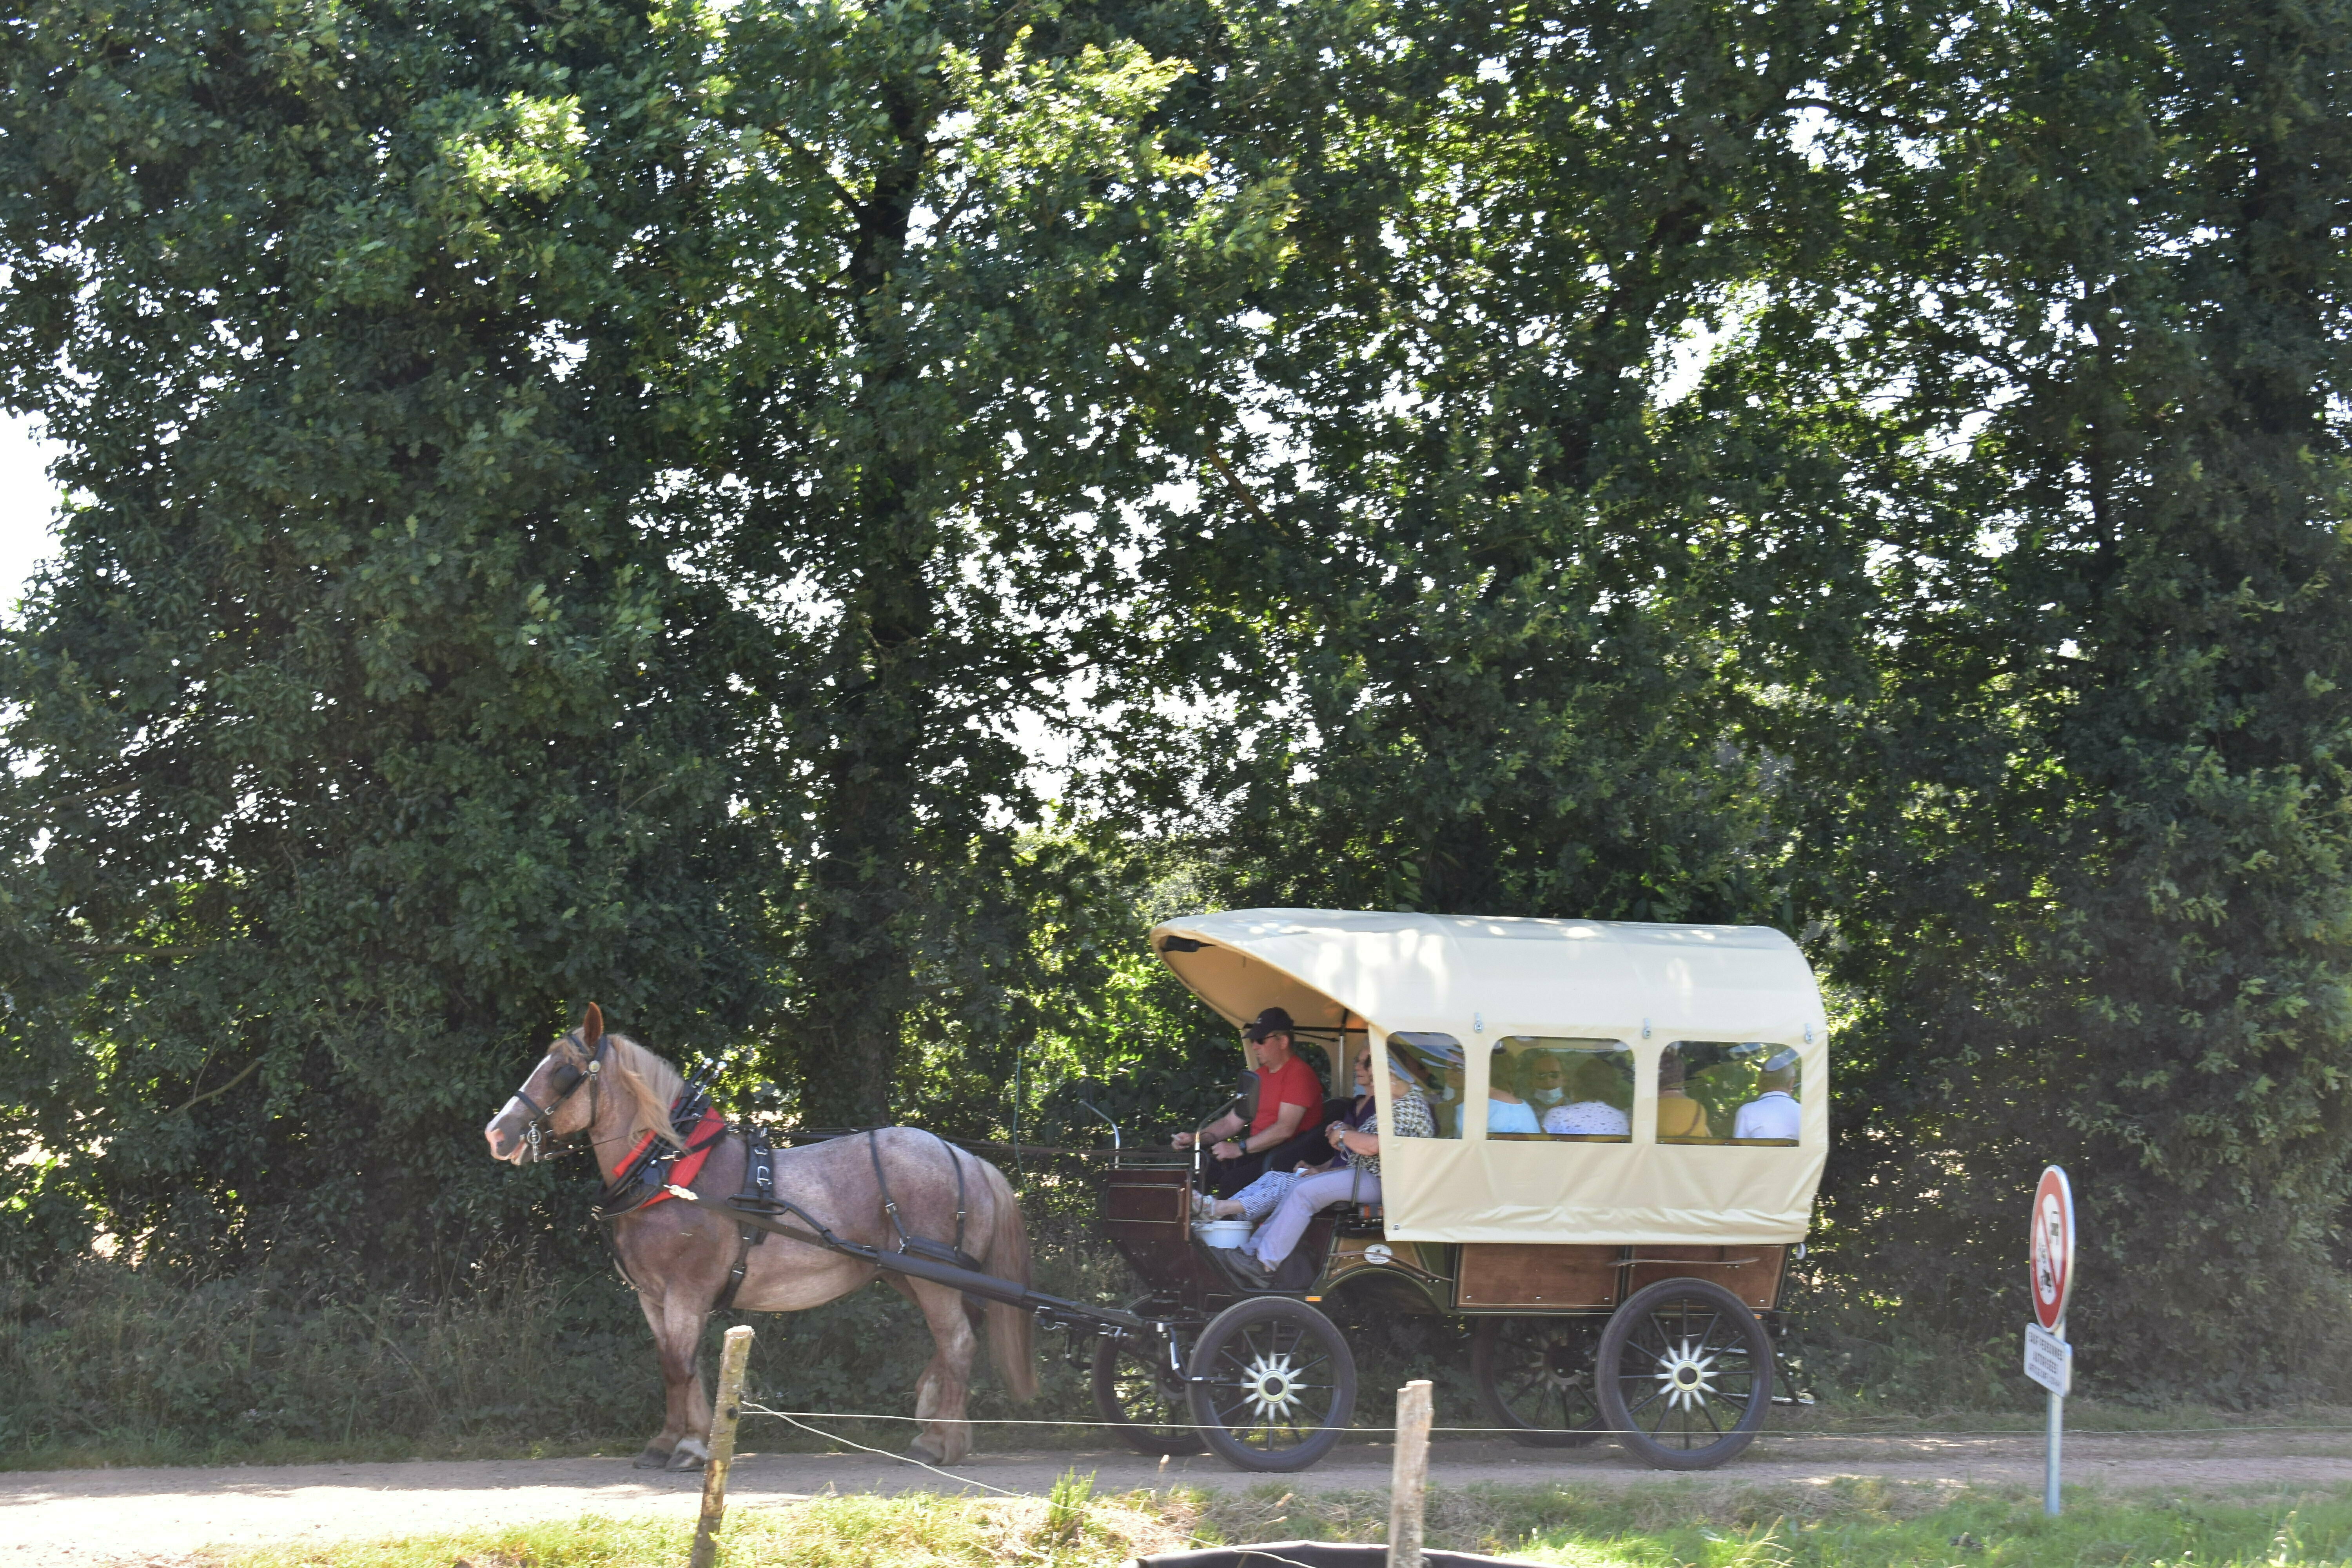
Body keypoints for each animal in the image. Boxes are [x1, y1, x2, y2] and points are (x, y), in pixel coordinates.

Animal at [480, 1006, 1040, 1476]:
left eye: (562, 1071)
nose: (496, 1134)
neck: (668, 1169)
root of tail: (967, 1157)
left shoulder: (686, 1290)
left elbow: (679, 1365)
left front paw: (689, 1447)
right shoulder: (654, 1296)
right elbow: (677, 1367)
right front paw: (672, 1441)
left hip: (934, 1278)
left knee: (959, 1341)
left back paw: (942, 1443)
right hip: (910, 1273)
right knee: (951, 1340)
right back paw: (933, 1424)